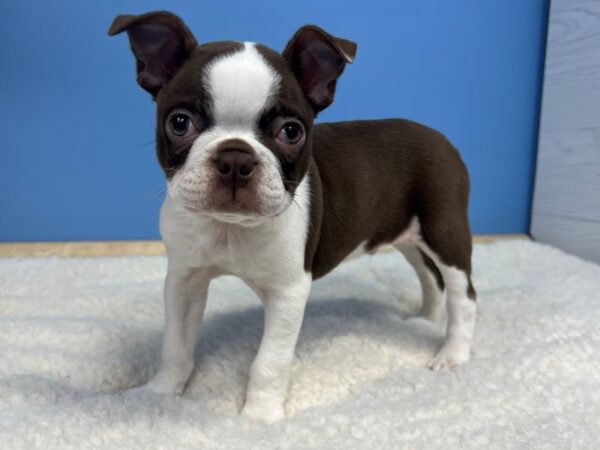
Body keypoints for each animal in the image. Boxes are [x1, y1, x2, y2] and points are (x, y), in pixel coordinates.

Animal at [106, 11, 474, 426]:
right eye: (180, 123)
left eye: (292, 131)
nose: (235, 158)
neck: (230, 228)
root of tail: (443, 140)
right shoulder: (185, 280)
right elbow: (175, 344)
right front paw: (160, 393)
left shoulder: (288, 292)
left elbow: (269, 362)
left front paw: (259, 417)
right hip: (404, 234)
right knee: (429, 276)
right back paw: (425, 319)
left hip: (444, 231)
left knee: (462, 294)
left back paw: (451, 354)